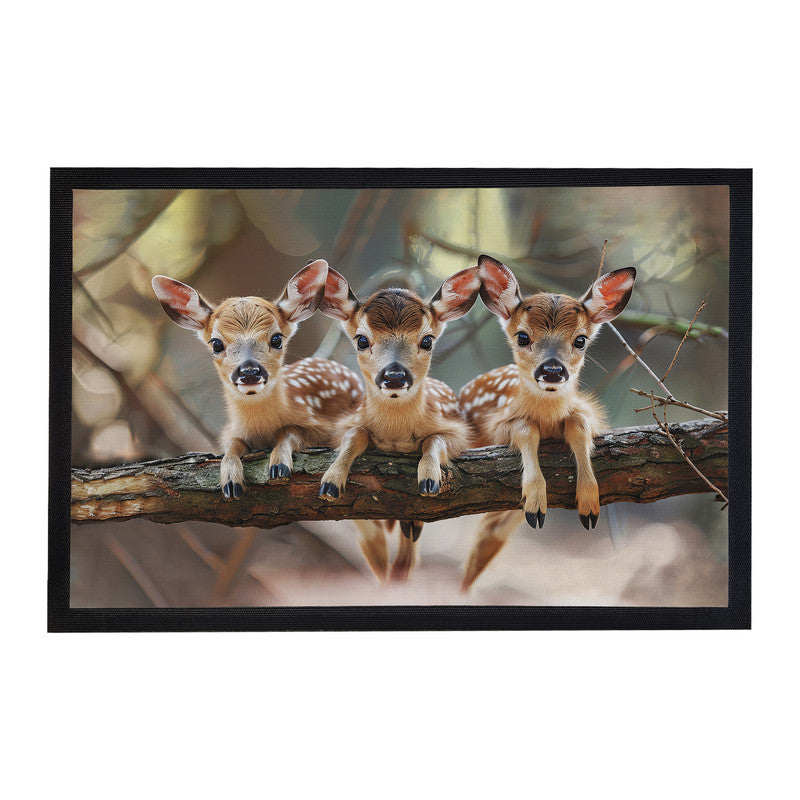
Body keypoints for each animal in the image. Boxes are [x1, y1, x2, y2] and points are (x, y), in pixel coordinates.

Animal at [151, 259, 363, 499]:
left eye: (276, 338)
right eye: (216, 343)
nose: (249, 372)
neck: (260, 429)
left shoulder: (320, 425)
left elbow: (290, 431)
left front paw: (279, 466)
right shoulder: (231, 431)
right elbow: (232, 444)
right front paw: (231, 480)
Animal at [316, 265, 482, 582]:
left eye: (427, 340)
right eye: (362, 339)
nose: (394, 376)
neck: (396, 434)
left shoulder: (458, 433)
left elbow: (434, 439)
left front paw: (429, 477)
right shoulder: (347, 423)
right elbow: (355, 435)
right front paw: (331, 481)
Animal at [458, 254, 636, 591]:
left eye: (580, 340)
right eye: (522, 336)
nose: (552, 370)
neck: (549, 420)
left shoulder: (588, 412)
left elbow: (578, 424)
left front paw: (589, 503)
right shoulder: (498, 424)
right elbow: (525, 428)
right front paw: (535, 501)